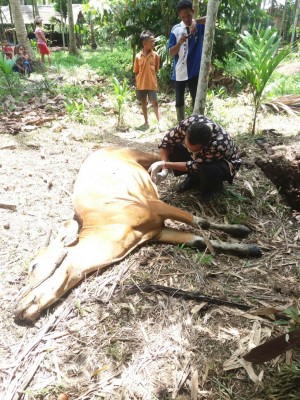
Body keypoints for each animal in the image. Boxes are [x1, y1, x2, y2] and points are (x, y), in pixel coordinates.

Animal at [14, 147, 262, 322]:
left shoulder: (153, 206)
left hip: (139, 154)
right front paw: (250, 249)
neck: (111, 230)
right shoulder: (157, 231)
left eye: (34, 265)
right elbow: (199, 240)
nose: (17, 308)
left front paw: (241, 230)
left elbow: (201, 222)